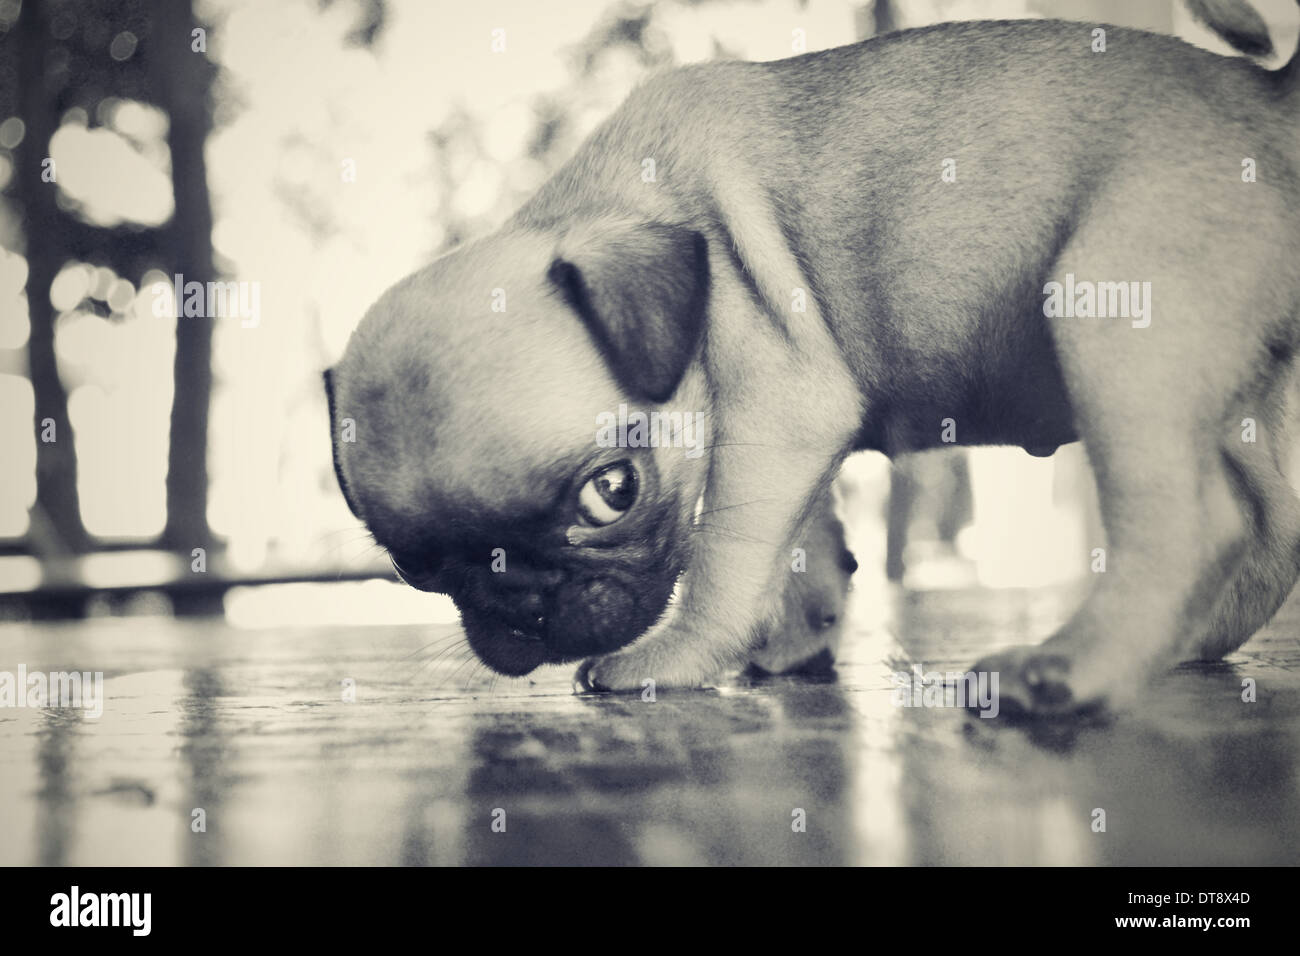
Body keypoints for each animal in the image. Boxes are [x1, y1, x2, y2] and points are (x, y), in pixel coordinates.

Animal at [330, 0, 1300, 717]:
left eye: (612, 492)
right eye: (417, 570)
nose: (523, 607)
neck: (630, 206)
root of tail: (1267, 101)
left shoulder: (772, 416)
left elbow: (726, 557)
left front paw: (676, 658)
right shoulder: (785, 435)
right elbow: (805, 542)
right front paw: (800, 634)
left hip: (1113, 319)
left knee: (1193, 524)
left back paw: (1069, 670)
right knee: (1271, 530)